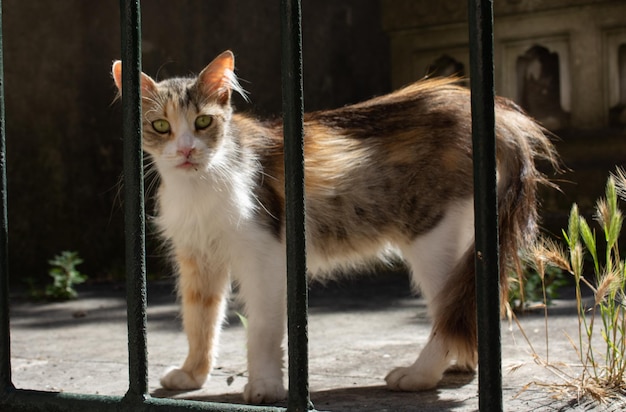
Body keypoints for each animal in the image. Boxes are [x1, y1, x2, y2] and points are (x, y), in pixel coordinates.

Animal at [111, 50, 556, 404]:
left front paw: (266, 387)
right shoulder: (199, 260)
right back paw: (464, 361)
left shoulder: (265, 256)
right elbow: (200, 323)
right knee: (465, 306)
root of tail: (471, 104)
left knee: (452, 309)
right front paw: (192, 374)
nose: (186, 150)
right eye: (161, 126)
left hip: (432, 238)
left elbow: (262, 331)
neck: (199, 186)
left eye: (203, 122)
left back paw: (419, 375)